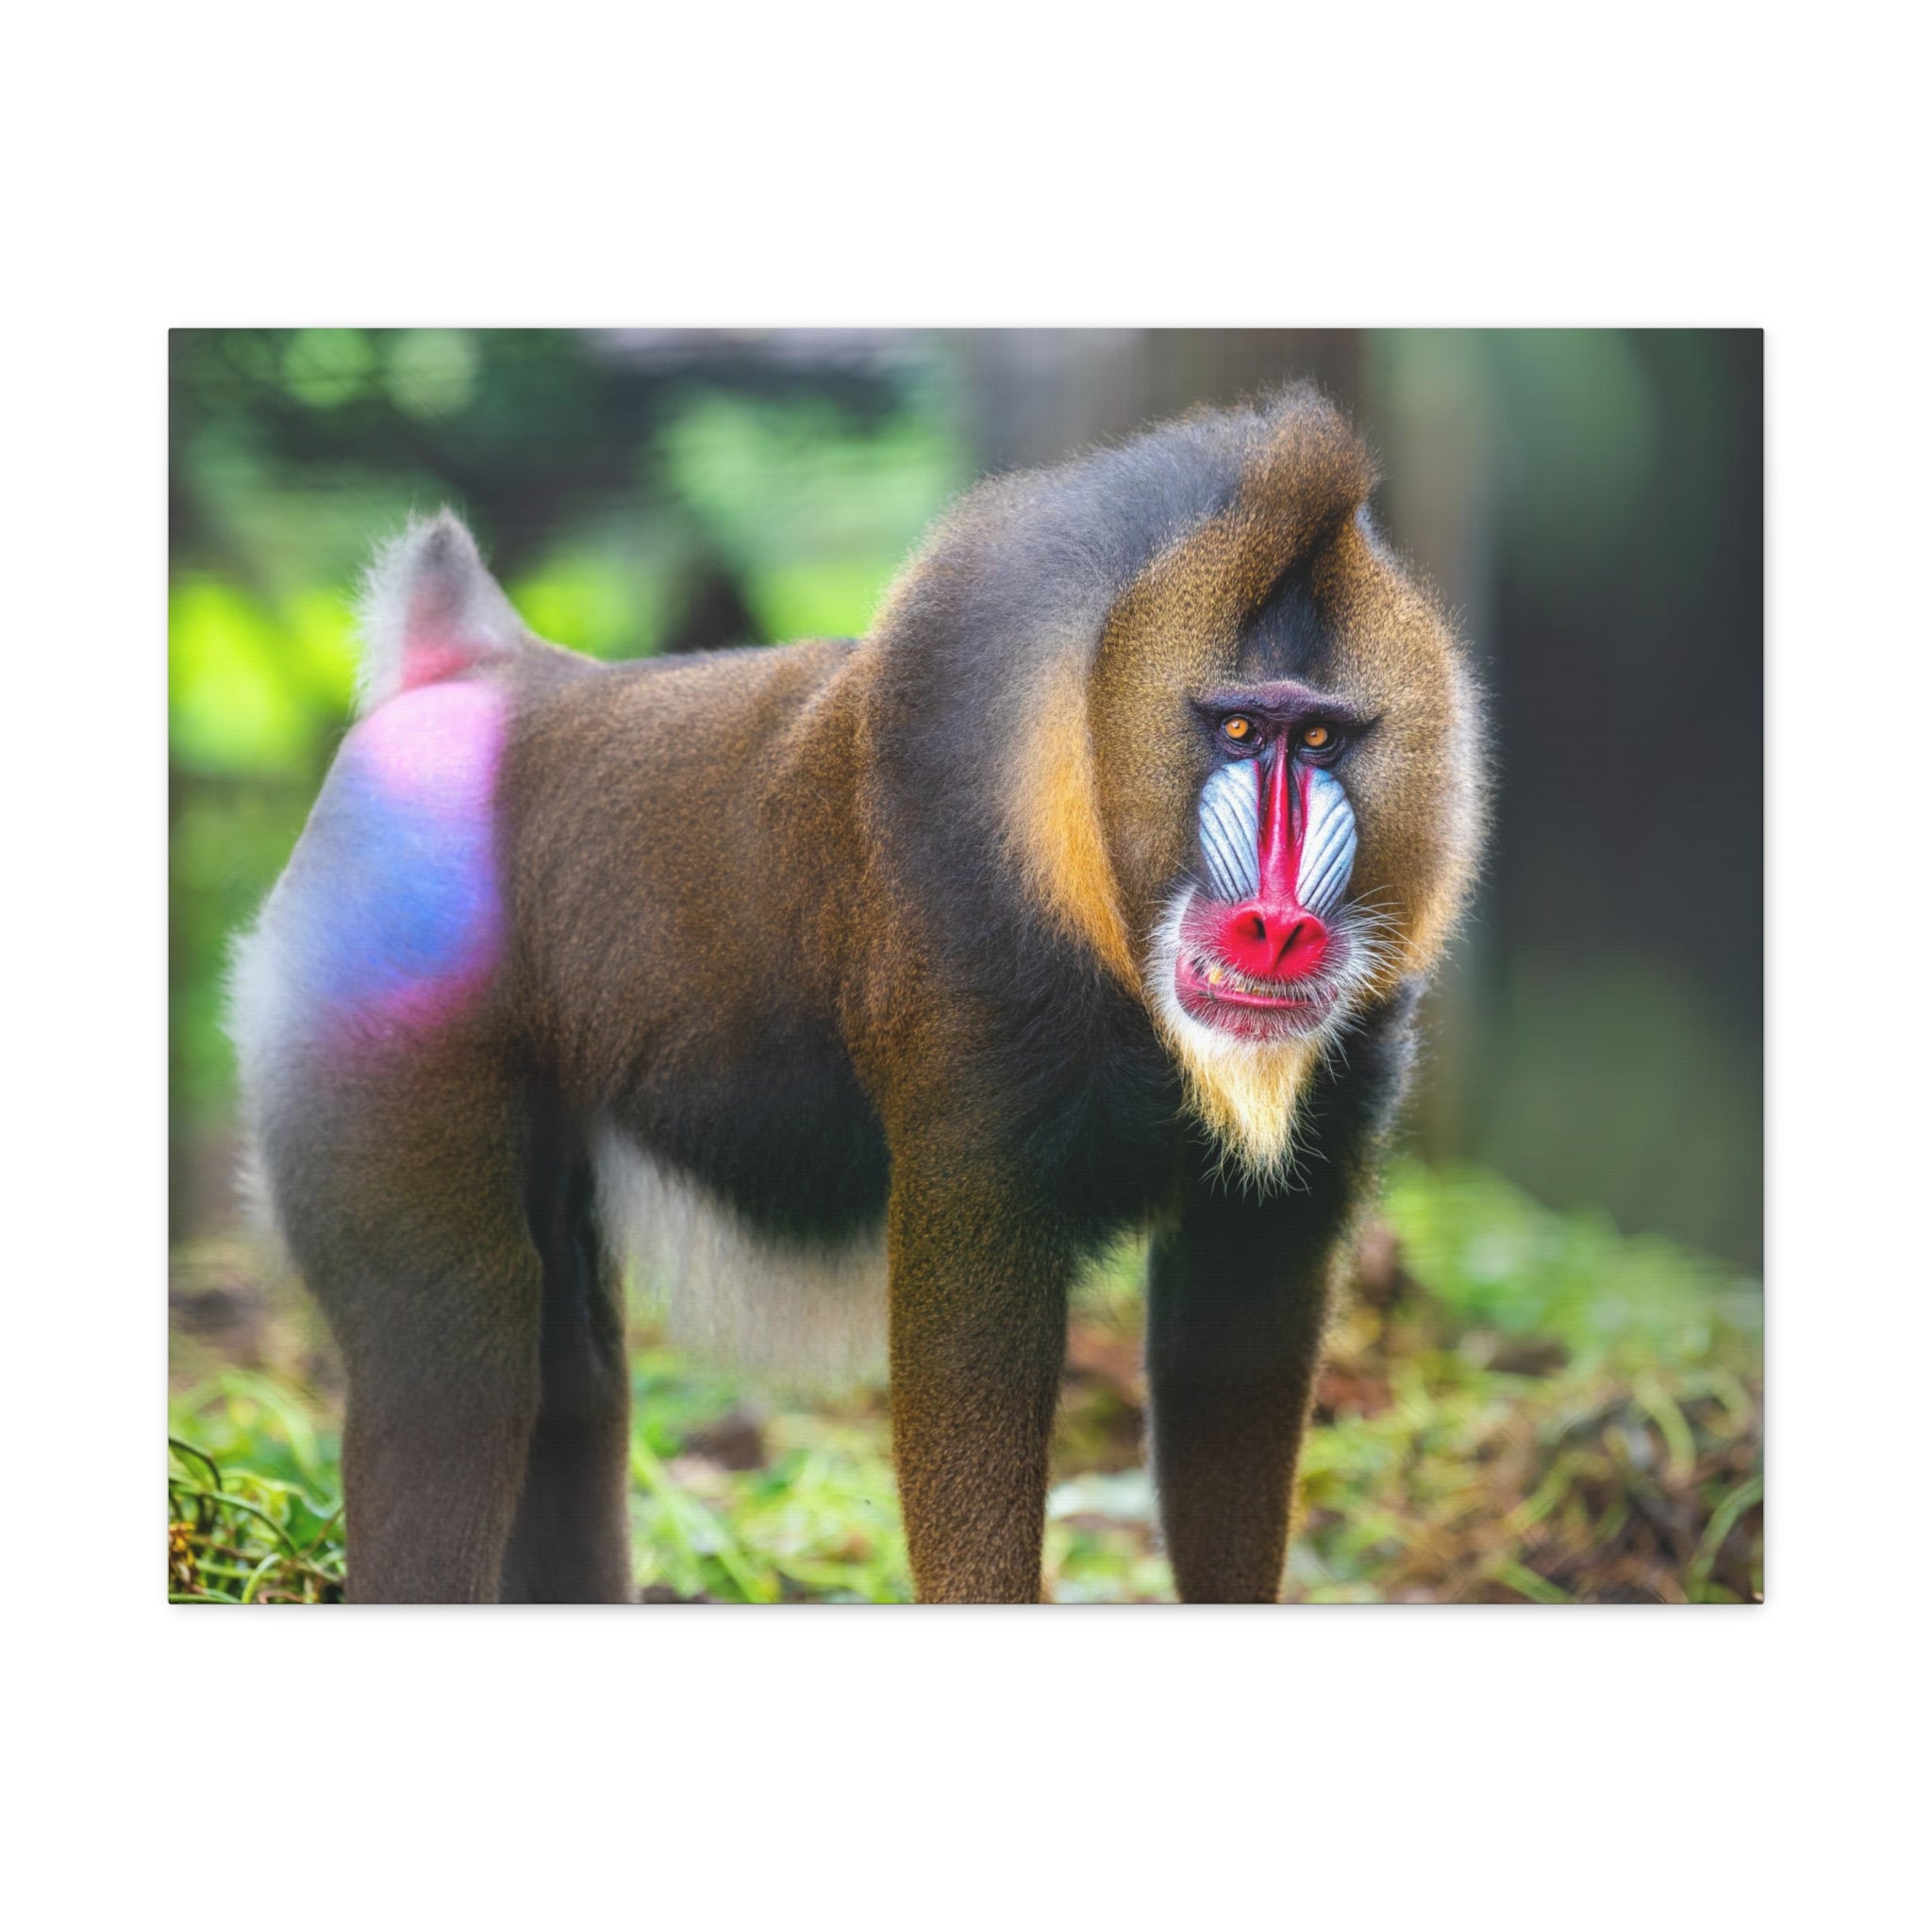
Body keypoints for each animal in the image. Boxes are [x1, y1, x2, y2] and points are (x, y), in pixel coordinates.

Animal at [228, 383, 1485, 1604]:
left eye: (1316, 738)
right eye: (1234, 727)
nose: (1275, 924)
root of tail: (467, 675)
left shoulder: (1295, 1176)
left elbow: (1232, 1363)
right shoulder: (971, 1124)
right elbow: (962, 1369)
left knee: (568, 1366)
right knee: (455, 1346)